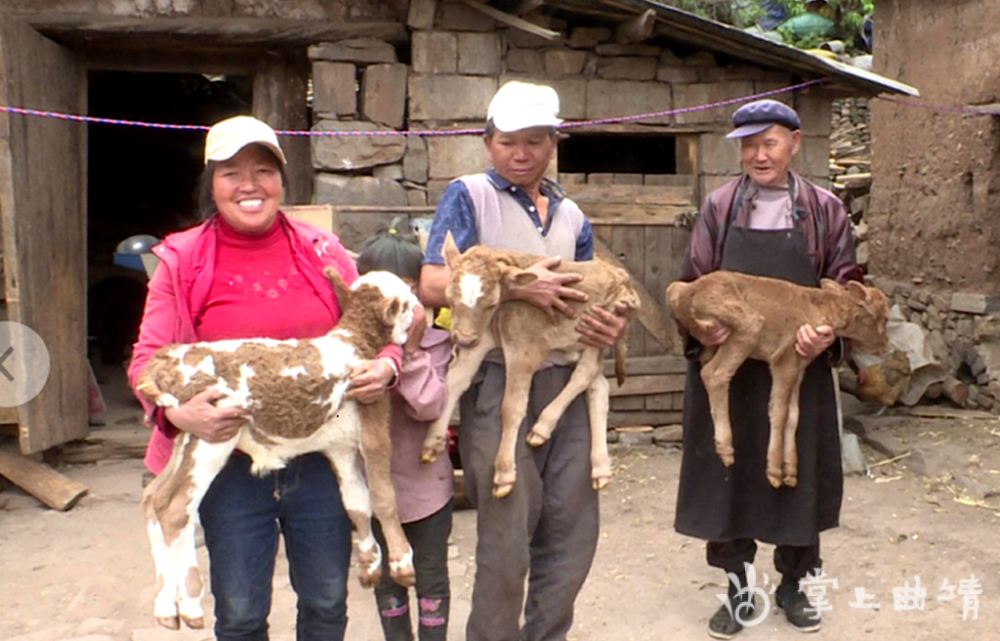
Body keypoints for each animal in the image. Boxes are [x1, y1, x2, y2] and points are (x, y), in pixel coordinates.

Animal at [135, 268, 416, 632]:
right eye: (406, 302)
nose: (421, 307)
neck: (355, 343)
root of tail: (164, 360)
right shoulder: (374, 424)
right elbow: (383, 498)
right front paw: (401, 562)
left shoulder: (339, 445)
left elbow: (356, 501)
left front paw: (369, 565)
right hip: (211, 434)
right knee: (175, 508)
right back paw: (192, 605)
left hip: (184, 439)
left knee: (154, 497)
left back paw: (166, 605)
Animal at [422, 232, 640, 498]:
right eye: (450, 299)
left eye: (491, 303)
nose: (463, 340)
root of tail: (622, 276)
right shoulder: (480, 342)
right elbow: (453, 383)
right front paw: (432, 442)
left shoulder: (525, 350)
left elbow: (512, 407)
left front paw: (504, 473)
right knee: (598, 387)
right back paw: (600, 468)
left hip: (599, 327)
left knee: (586, 373)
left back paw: (542, 427)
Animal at [664, 272, 892, 488]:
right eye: (885, 318)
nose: (886, 348)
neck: (822, 310)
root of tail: (687, 291)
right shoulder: (784, 359)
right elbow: (779, 412)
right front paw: (774, 471)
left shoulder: (799, 365)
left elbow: (793, 415)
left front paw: (790, 471)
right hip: (748, 324)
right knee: (714, 374)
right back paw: (726, 448)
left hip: (714, 340)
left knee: (707, 368)